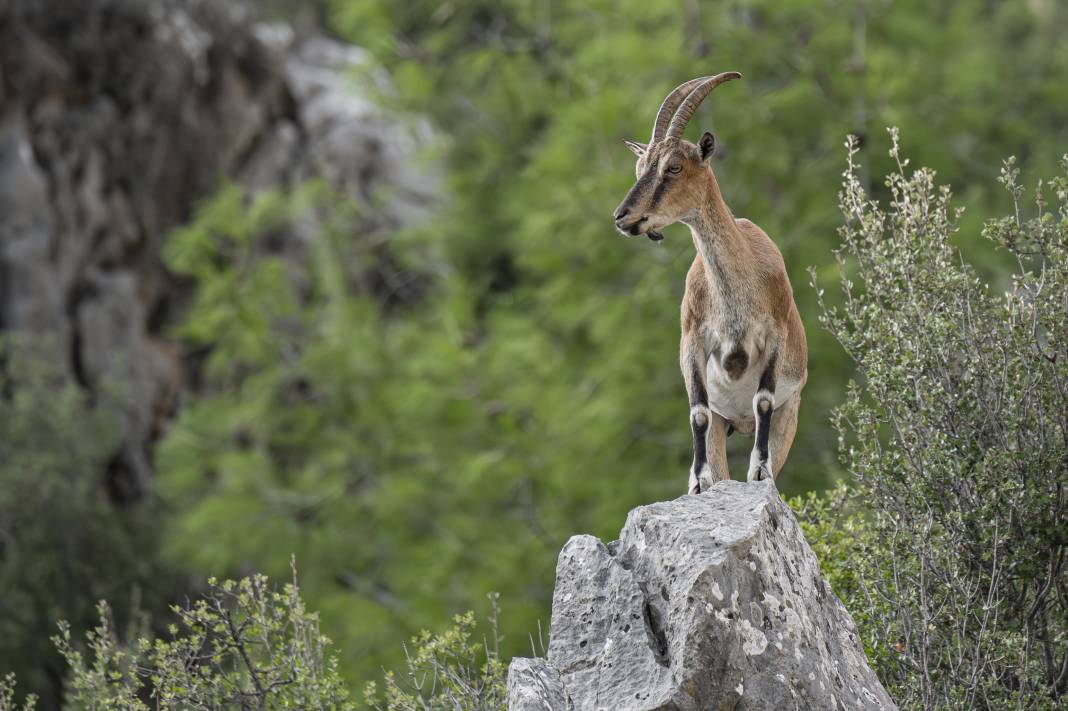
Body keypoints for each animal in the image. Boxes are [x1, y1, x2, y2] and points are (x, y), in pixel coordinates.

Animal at [615, 73, 803, 493]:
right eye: (640, 167)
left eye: (673, 167)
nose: (622, 216)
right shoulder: (693, 342)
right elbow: (697, 412)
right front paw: (700, 482)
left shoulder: (775, 337)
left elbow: (763, 400)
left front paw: (759, 472)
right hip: (724, 421)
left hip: (791, 413)